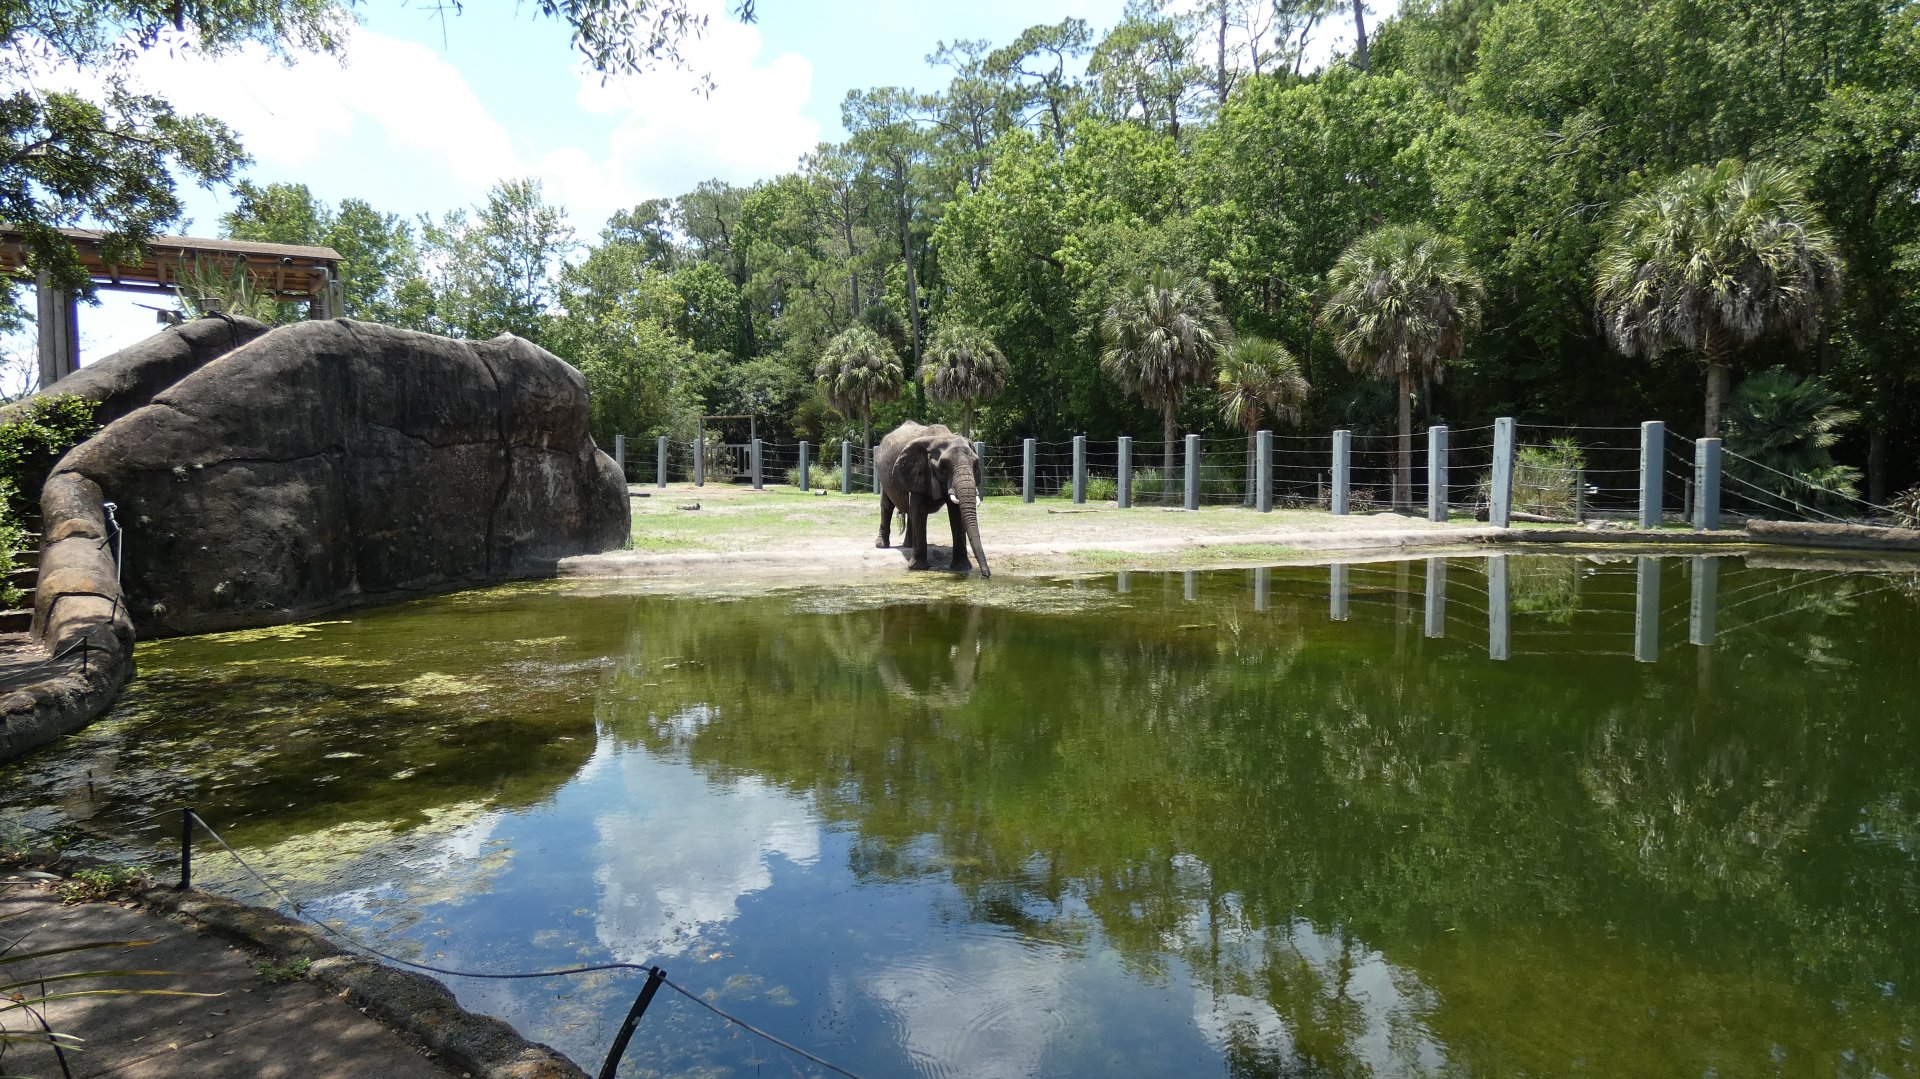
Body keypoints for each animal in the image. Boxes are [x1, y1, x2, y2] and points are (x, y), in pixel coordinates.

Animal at [875, 421, 991, 577]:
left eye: (975, 465)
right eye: (943, 467)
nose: (986, 575)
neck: (942, 437)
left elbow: (956, 513)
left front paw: (962, 568)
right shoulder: (919, 471)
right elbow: (919, 510)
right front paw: (918, 568)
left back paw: (908, 545)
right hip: (883, 476)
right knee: (887, 505)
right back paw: (882, 546)